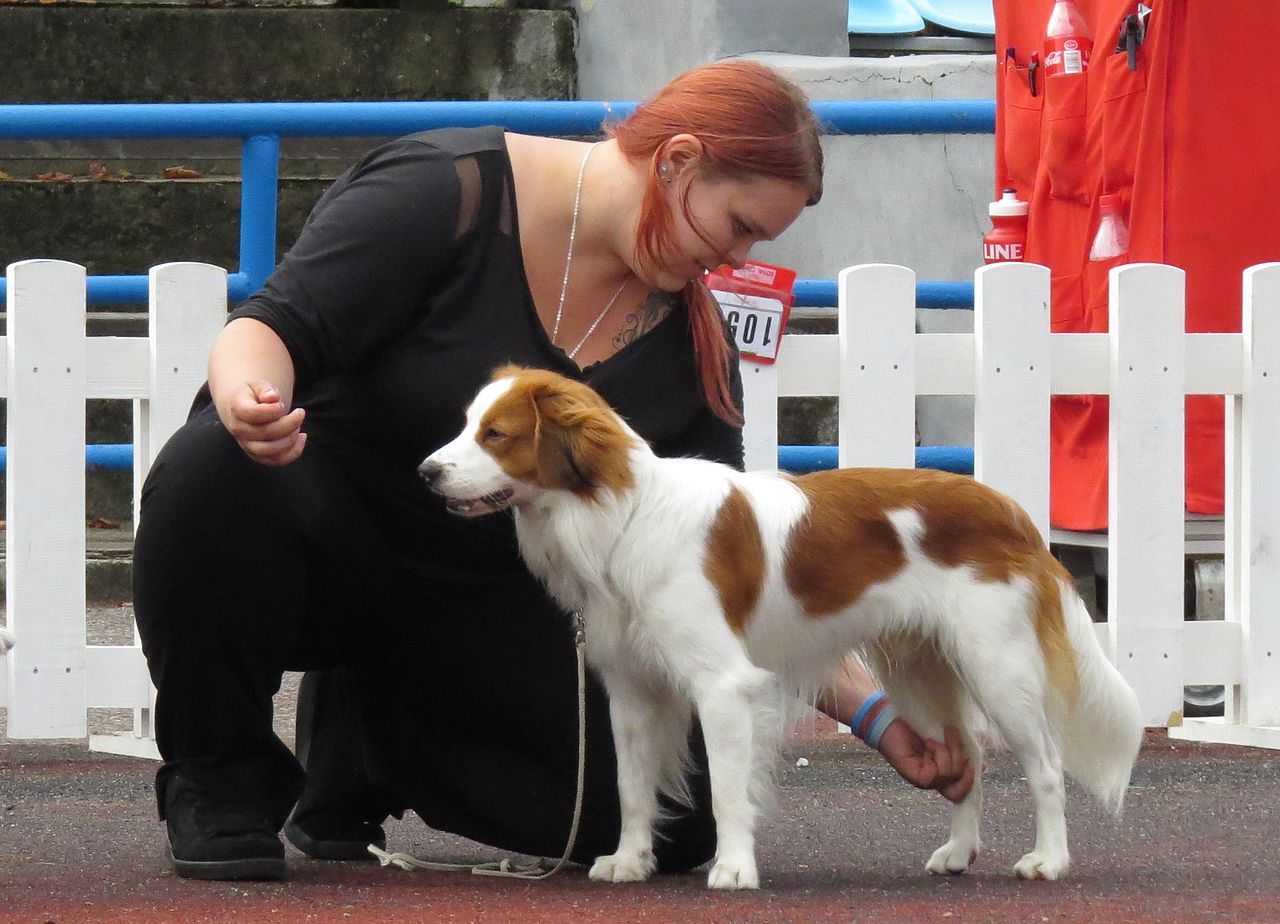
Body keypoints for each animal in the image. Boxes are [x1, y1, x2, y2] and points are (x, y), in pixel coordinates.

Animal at [417, 366, 1141, 885]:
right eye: (466, 426)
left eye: (495, 435)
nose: (425, 472)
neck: (623, 516)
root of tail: (1010, 510)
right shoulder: (631, 691)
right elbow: (630, 787)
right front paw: (630, 861)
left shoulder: (722, 685)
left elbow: (727, 790)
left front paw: (735, 868)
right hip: (922, 673)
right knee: (967, 761)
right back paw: (959, 852)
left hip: (997, 667)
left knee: (1045, 766)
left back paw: (1049, 860)